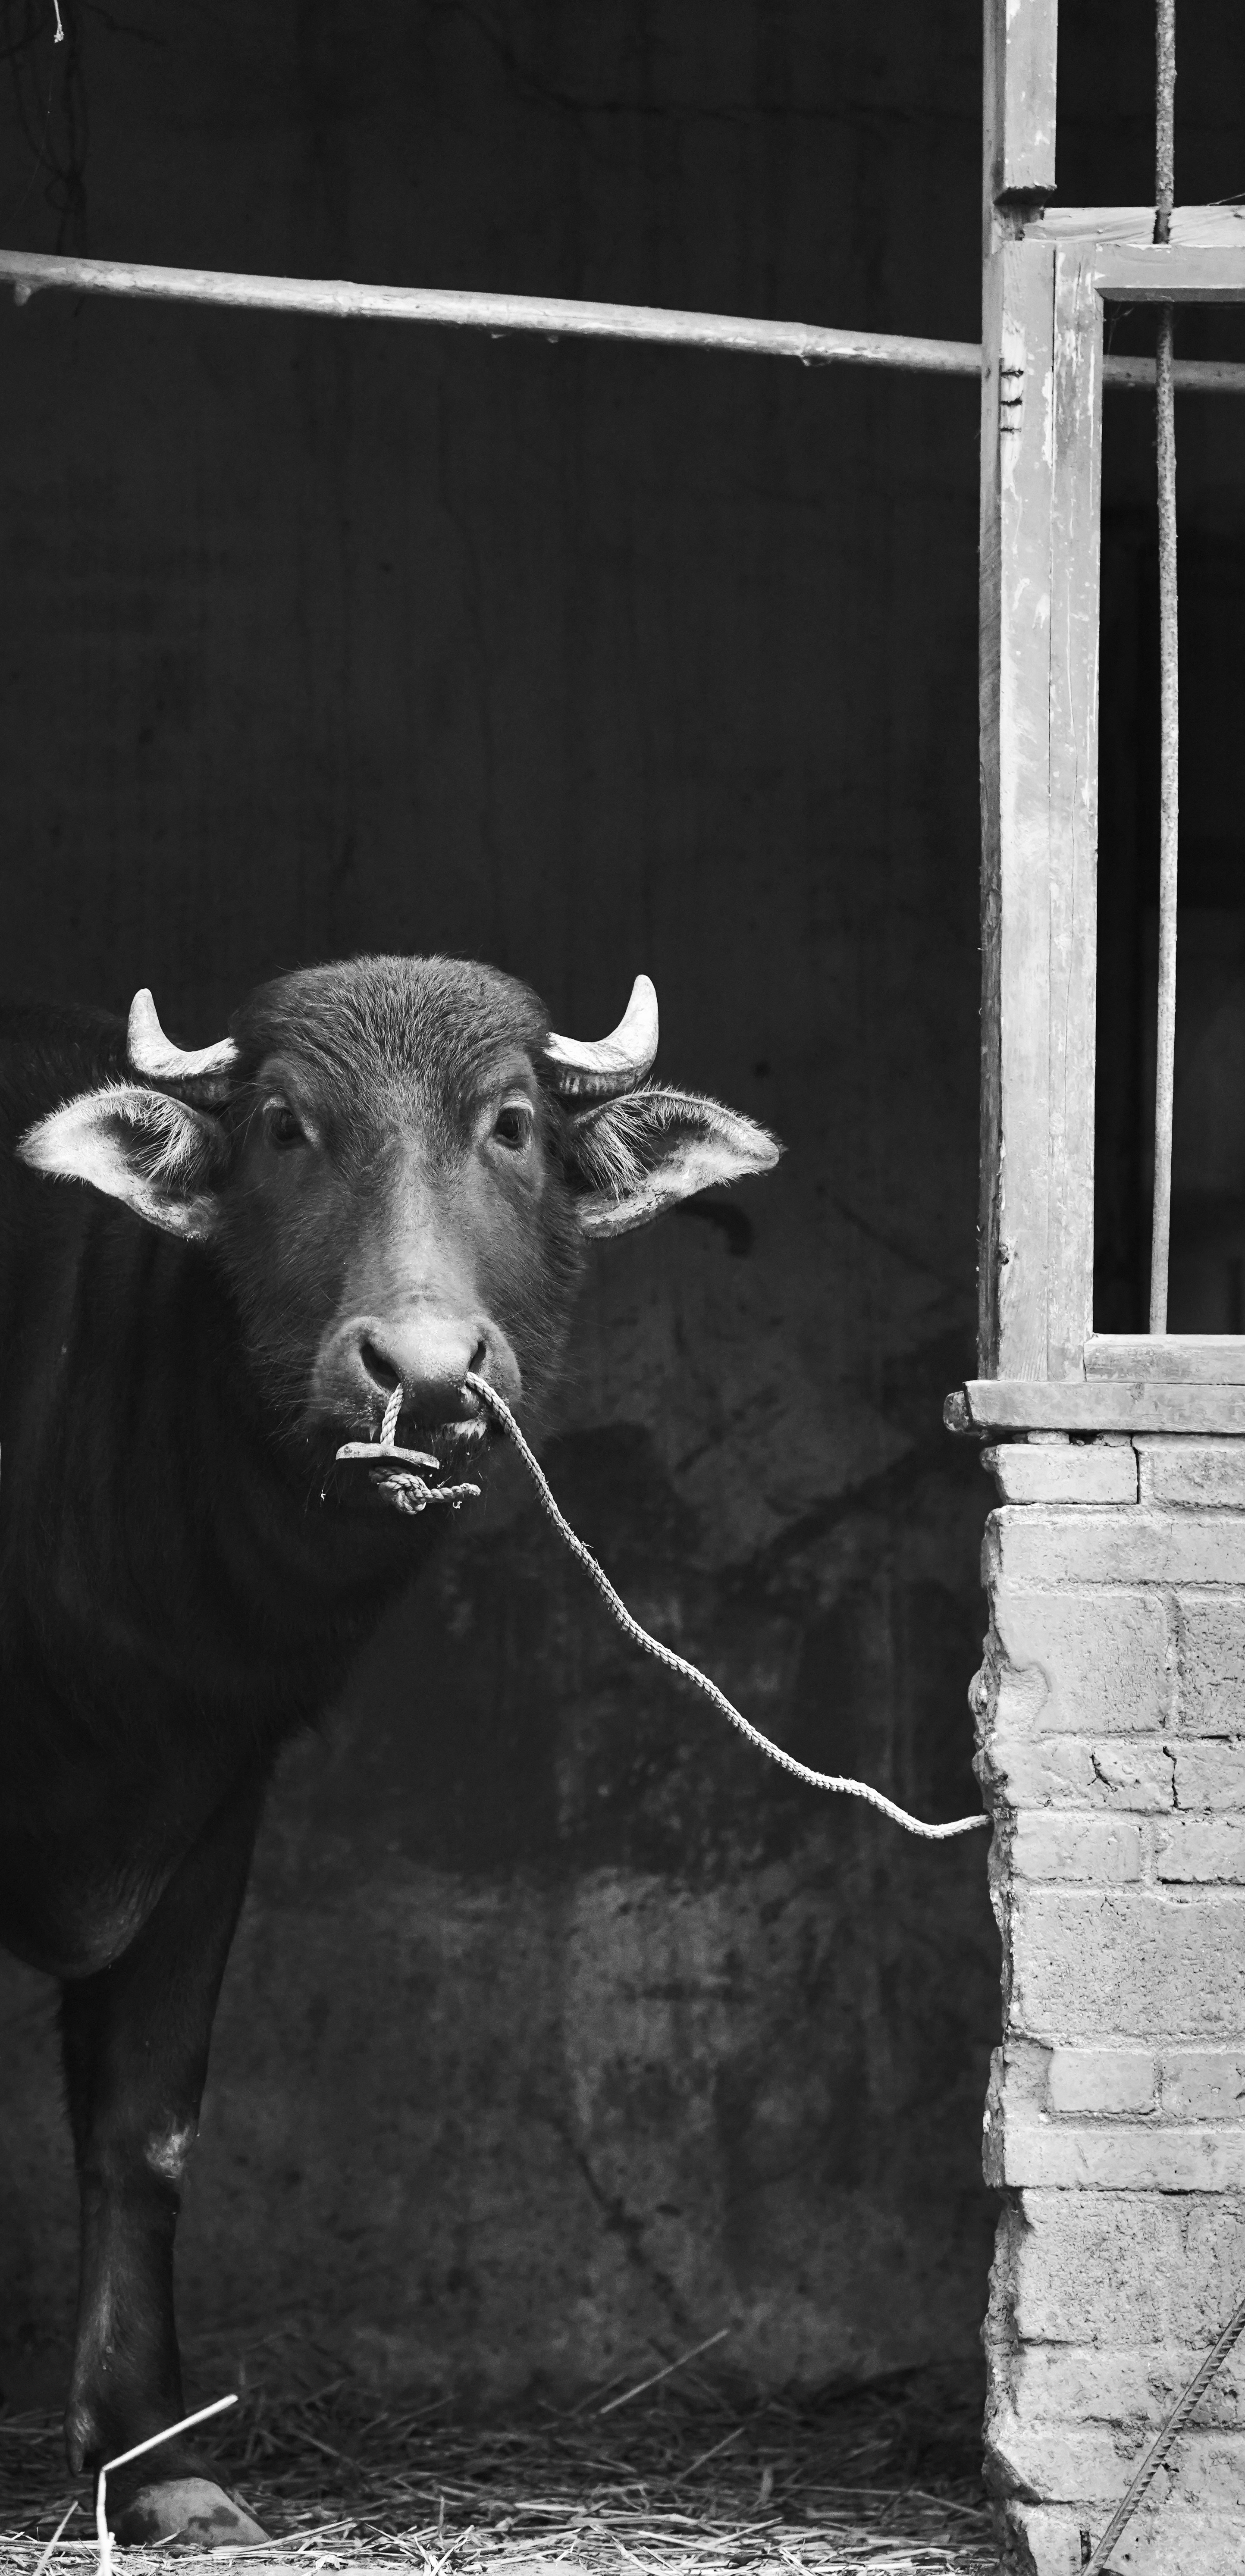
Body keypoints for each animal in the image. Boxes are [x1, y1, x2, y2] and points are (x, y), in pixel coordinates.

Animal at [0, 955, 779, 2551]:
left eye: (511, 1127)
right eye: (283, 1127)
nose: (420, 1373)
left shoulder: (212, 1783)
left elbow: (142, 2124)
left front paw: (154, 2462)